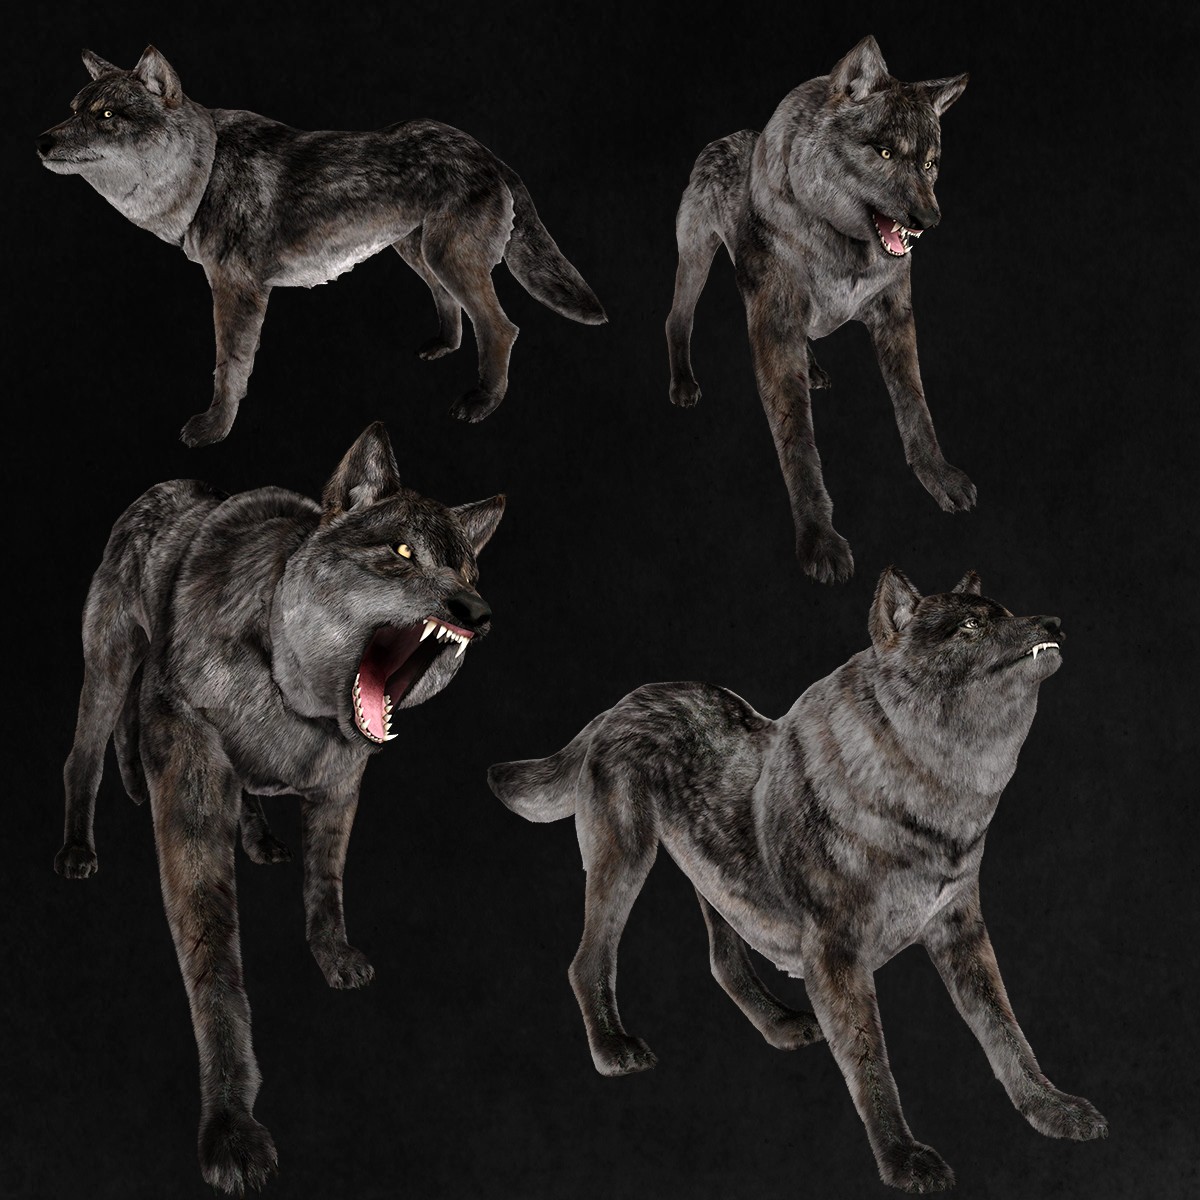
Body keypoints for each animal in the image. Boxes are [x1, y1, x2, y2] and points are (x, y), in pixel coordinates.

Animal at [37, 46, 606, 446]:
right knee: (455, 310)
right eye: (73, 109)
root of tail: (488, 152)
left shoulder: (236, 292)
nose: (41, 141)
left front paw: (214, 429)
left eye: (107, 116)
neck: (205, 170)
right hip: (419, 256)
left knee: (501, 329)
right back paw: (443, 347)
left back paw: (482, 402)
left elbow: (228, 370)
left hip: (447, 259)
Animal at [54, 422, 504, 1192]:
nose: (474, 613)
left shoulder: (341, 787)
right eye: (402, 552)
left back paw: (262, 841)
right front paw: (232, 1129)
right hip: (109, 670)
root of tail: (167, 486)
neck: (291, 697)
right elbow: (215, 965)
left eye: (469, 570)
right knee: (81, 757)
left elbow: (325, 887)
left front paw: (334, 957)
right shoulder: (190, 786)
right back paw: (78, 850)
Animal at [489, 568, 1107, 1192]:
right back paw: (613, 1049)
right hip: (626, 861)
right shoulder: (836, 954)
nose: (1054, 623)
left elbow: (1006, 1033)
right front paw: (903, 1159)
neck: (927, 788)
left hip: (715, 878)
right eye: (972, 626)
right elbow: (871, 1065)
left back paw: (780, 1024)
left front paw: (1051, 1109)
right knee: (588, 960)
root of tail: (624, 703)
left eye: (1006, 611)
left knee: (723, 962)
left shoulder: (962, 932)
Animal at [666, 36, 976, 584]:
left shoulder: (895, 316)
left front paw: (939, 477)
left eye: (930, 164)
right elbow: (798, 442)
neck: (839, 248)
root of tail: (722, 138)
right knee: (676, 319)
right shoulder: (773, 329)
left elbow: (916, 407)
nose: (929, 220)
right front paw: (818, 539)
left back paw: (811, 370)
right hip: (696, 260)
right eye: (885, 152)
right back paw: (682, 383)